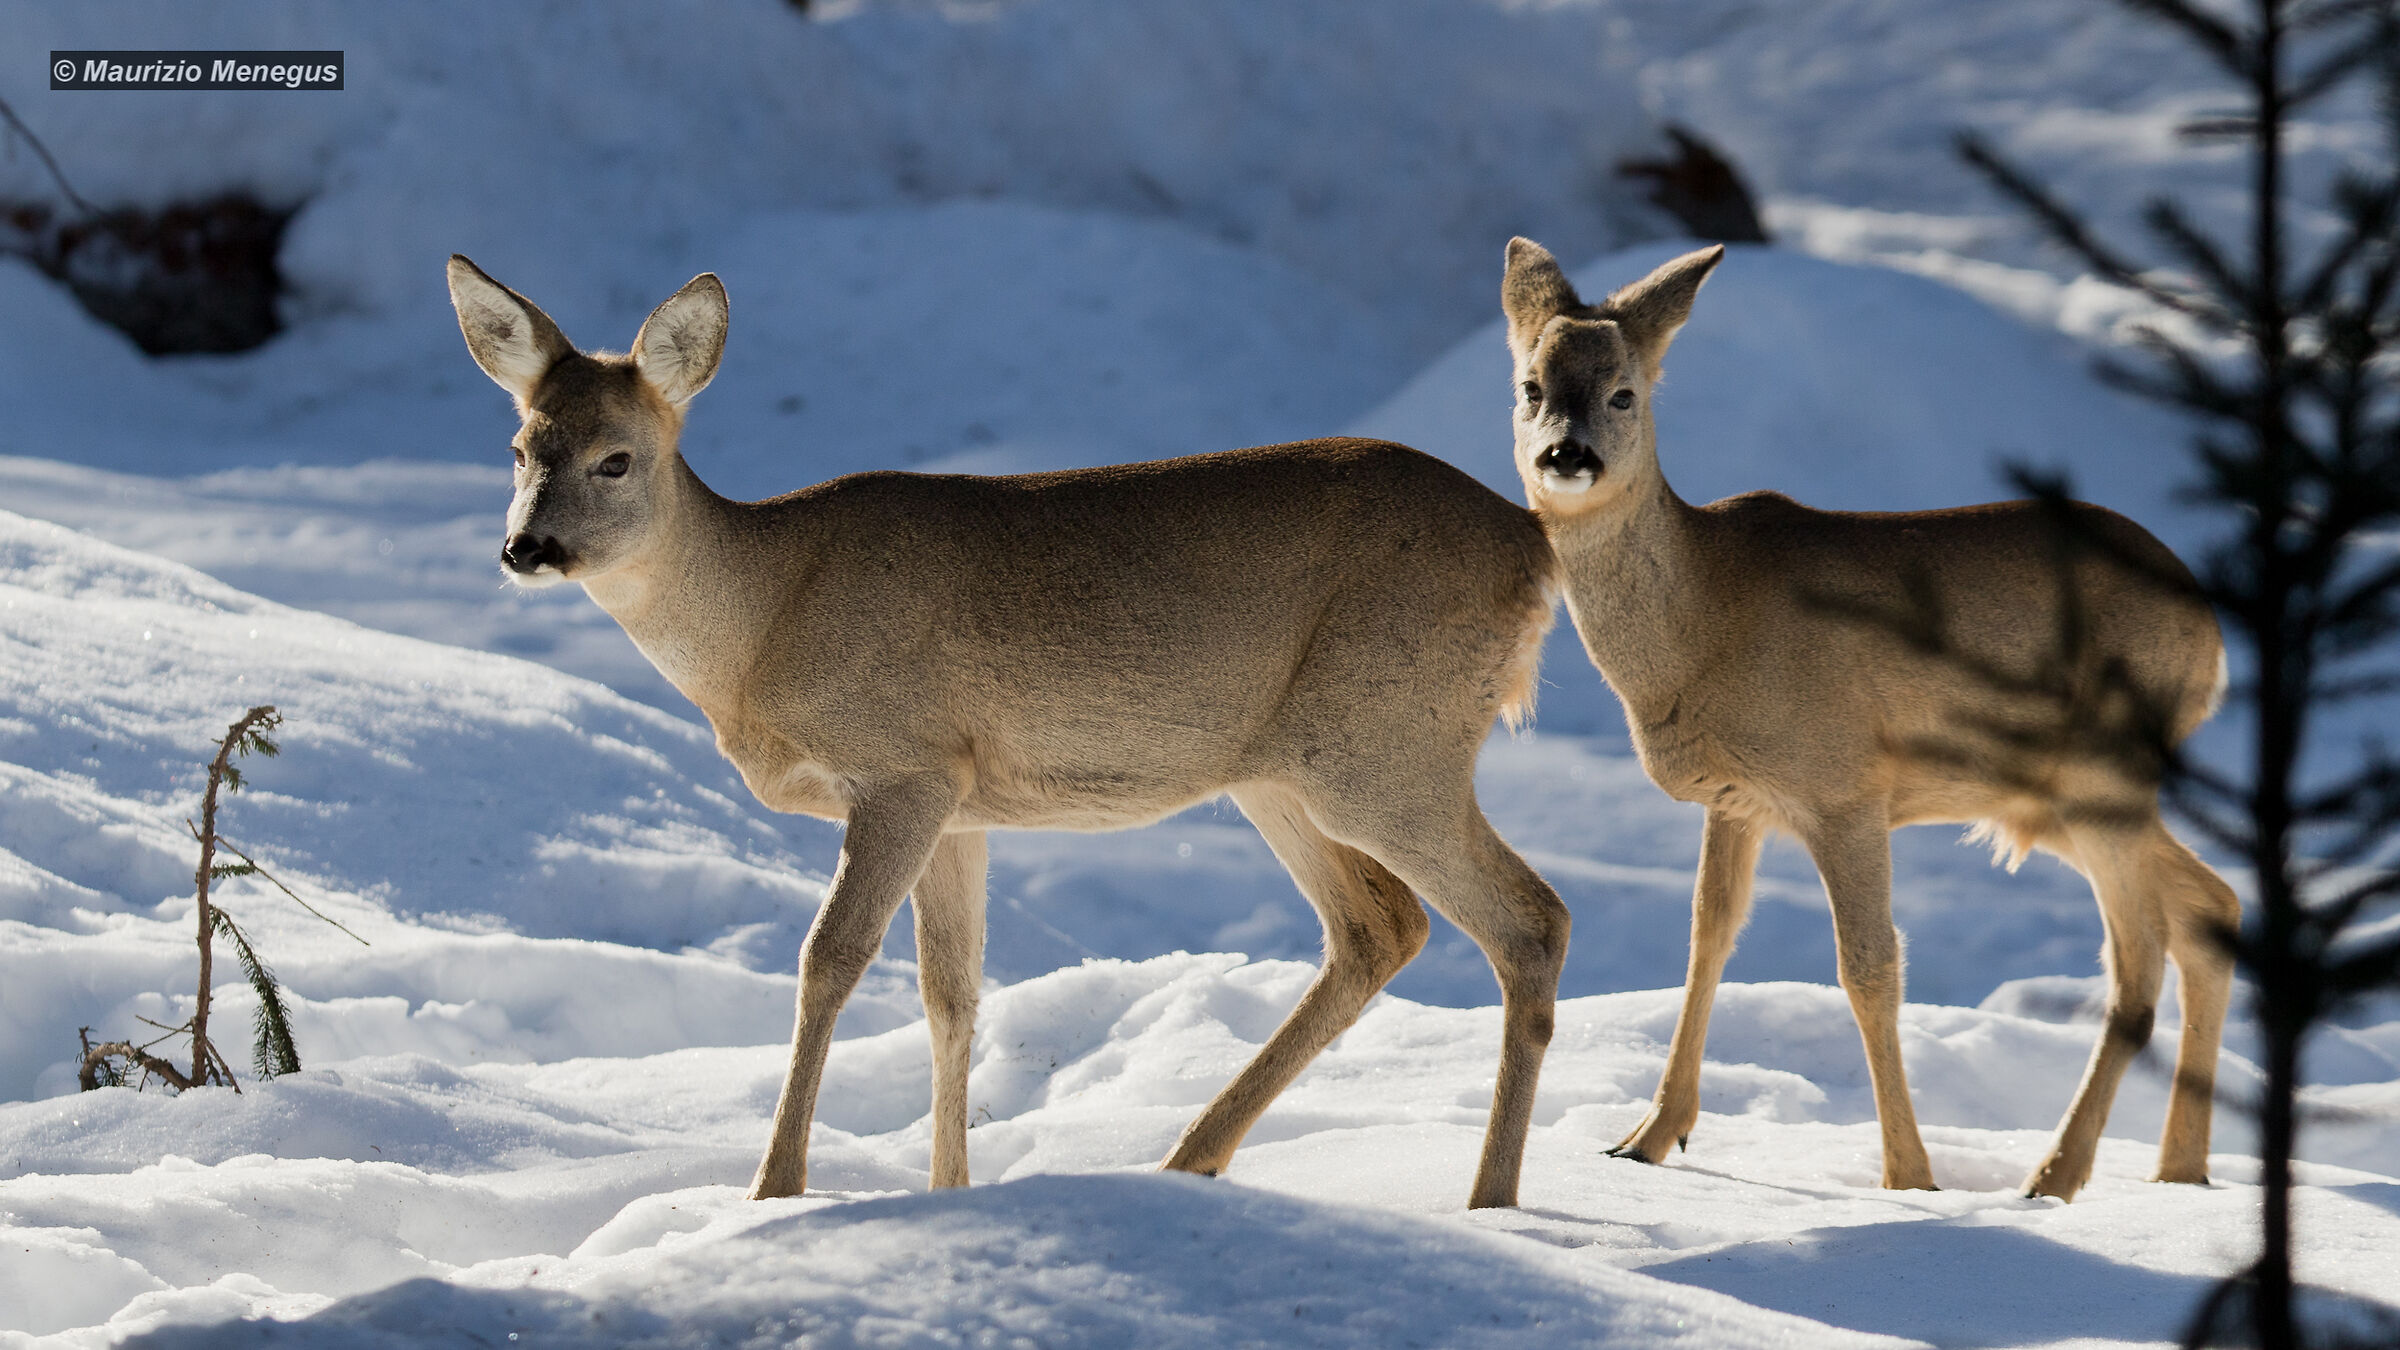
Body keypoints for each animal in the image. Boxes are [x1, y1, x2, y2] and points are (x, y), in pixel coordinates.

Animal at [445, 255, 1572, 1209]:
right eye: (518, 448)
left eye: (617, 460)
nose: (525, 547)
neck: (765, 621)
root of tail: (1536, 547)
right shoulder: (962, 802)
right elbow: (953, 994)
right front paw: (948, 1191)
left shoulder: (902, 766)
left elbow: (830, 958)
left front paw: (773, 1190)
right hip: (1278, 770)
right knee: (1380, 927)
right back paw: (1191, 1161)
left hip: (1387, 742)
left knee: (1530, 918)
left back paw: (1488, 1200)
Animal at [1497, 238, 2240, 1202]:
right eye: (1530, 384)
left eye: (1625, 391)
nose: (1566, 453)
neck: (1705, 622)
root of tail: (2212, 632)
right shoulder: (1737, 800)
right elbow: (1708, 938)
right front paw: (1648, 1136)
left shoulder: (1845, 785)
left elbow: (1871, 968)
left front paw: (1909, 1176)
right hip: (2053, 798)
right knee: (2211, 910)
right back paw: (2178, 1171)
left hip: (2100, 775)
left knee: (2138, 965)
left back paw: (2056, 1174)